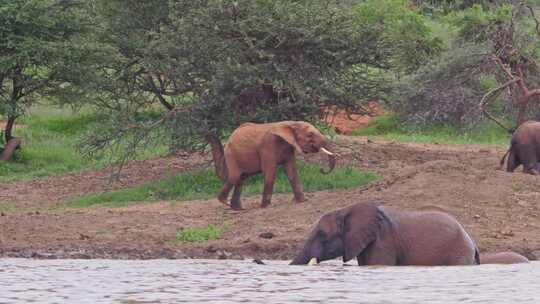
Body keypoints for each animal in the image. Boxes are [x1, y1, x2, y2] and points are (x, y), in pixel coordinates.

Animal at [206, 120, 336, 210]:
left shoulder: (288, 147)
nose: (322, 170)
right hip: (231, 155)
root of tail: (230, 137)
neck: (290, 123)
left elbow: (291, 171)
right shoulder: (267, 146)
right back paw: (226, 203)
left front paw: (303, 201)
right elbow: (270, 173)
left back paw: (238, 209)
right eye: (310, 135)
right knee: (234, 177)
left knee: (240, 179)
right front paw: (266, 206)